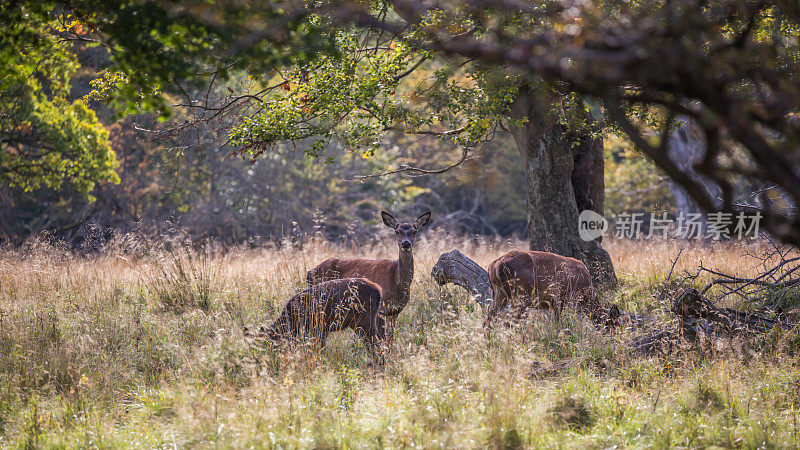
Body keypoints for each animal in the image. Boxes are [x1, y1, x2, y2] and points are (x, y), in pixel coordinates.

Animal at [244, 278, 388, 362]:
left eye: (269, 343)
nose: (261, 360)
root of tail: (379, 291)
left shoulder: (320, 327)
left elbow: (319, 348)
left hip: (365, 320)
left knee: (378, 343)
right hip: (357, 324)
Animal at [306, 211, 432, 342]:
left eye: (414, 231)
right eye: (397, 231)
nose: (406, 243)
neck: (397, 283)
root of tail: (310, 272)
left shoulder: (395, 311)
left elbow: (391, 339)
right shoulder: (381, 309)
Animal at [482, 250, 620, 330]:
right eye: (613, 324)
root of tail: (494, 266)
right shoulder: (562, 299)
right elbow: (558, 321)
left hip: (500, 294)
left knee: (489, 319)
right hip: (520, 295)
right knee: (508, 322)